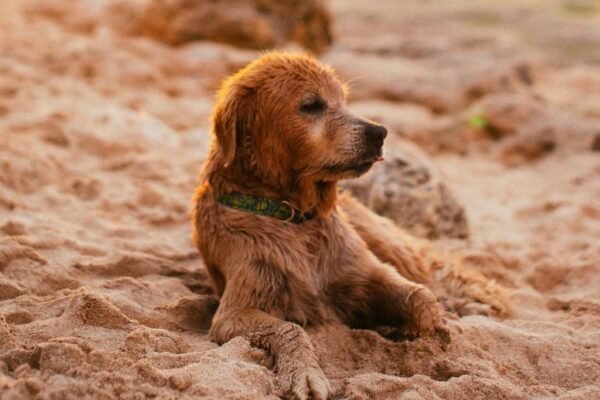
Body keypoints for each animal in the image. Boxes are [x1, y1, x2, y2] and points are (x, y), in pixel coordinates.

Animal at [193, 54, 468, 400]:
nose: (379, 132)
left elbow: (421, 299)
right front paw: (305, 375)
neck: (292, 215)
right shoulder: (234, 310)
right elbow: (290, 327)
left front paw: (409, 330)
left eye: (343, 101)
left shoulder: (362, 270)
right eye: (312, 104)